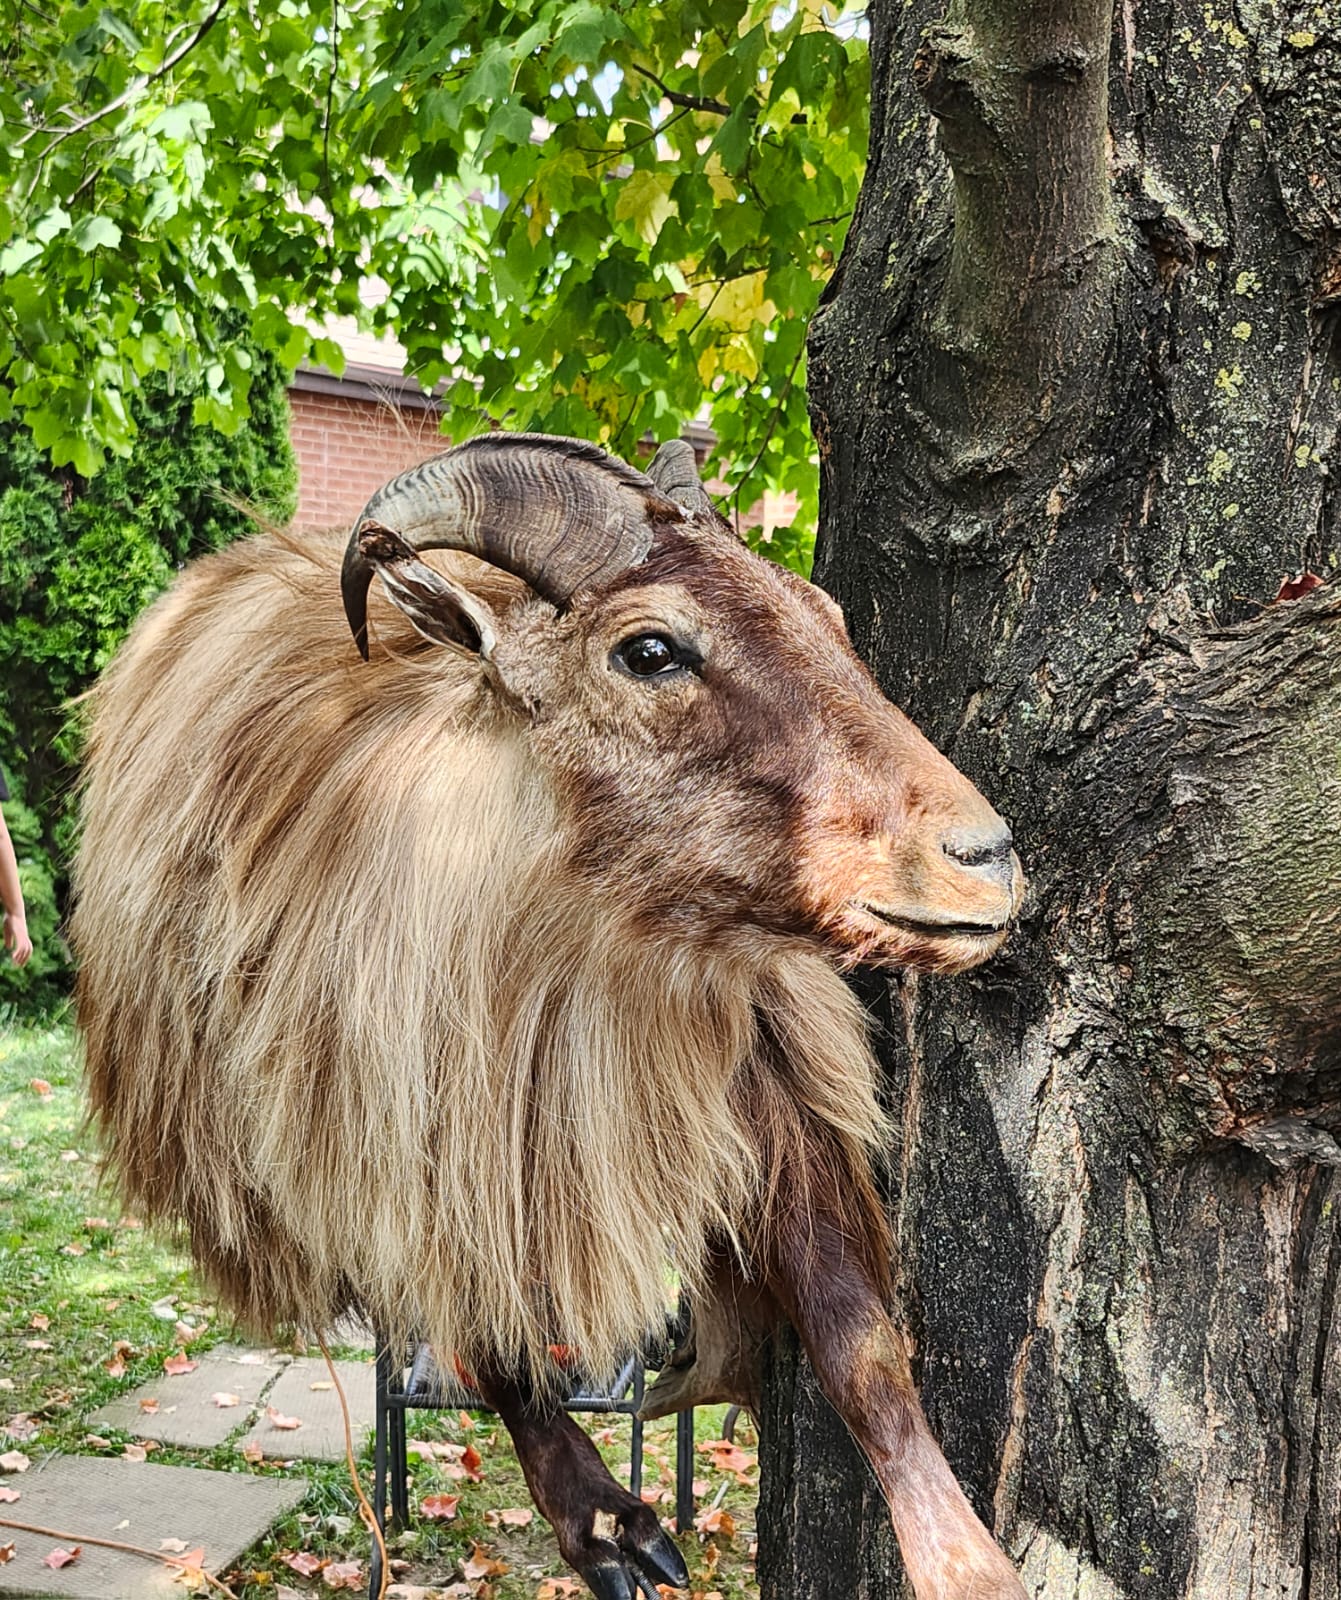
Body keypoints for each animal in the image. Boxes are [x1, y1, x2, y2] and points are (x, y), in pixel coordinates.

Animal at [72, 434, 1027, 1600]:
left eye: (827, 613)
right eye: (650, 649)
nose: (983, 859)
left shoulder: (770, 1092)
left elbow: (861, 1346)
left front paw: (967, 1565)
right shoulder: (406, 1155)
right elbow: (496, 1343)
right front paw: (610, 1528)